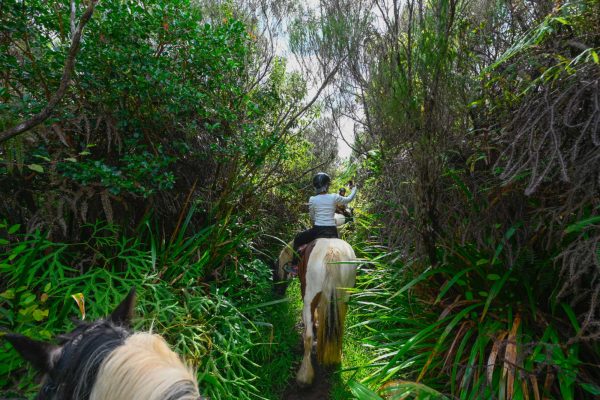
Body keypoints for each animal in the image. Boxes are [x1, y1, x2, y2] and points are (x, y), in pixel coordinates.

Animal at [276, 239, 356, 386]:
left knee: (308, 337)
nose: (279, 292)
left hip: (309, 297)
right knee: (340, 327)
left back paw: (304, 375)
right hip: (345, 297)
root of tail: (331, 251)